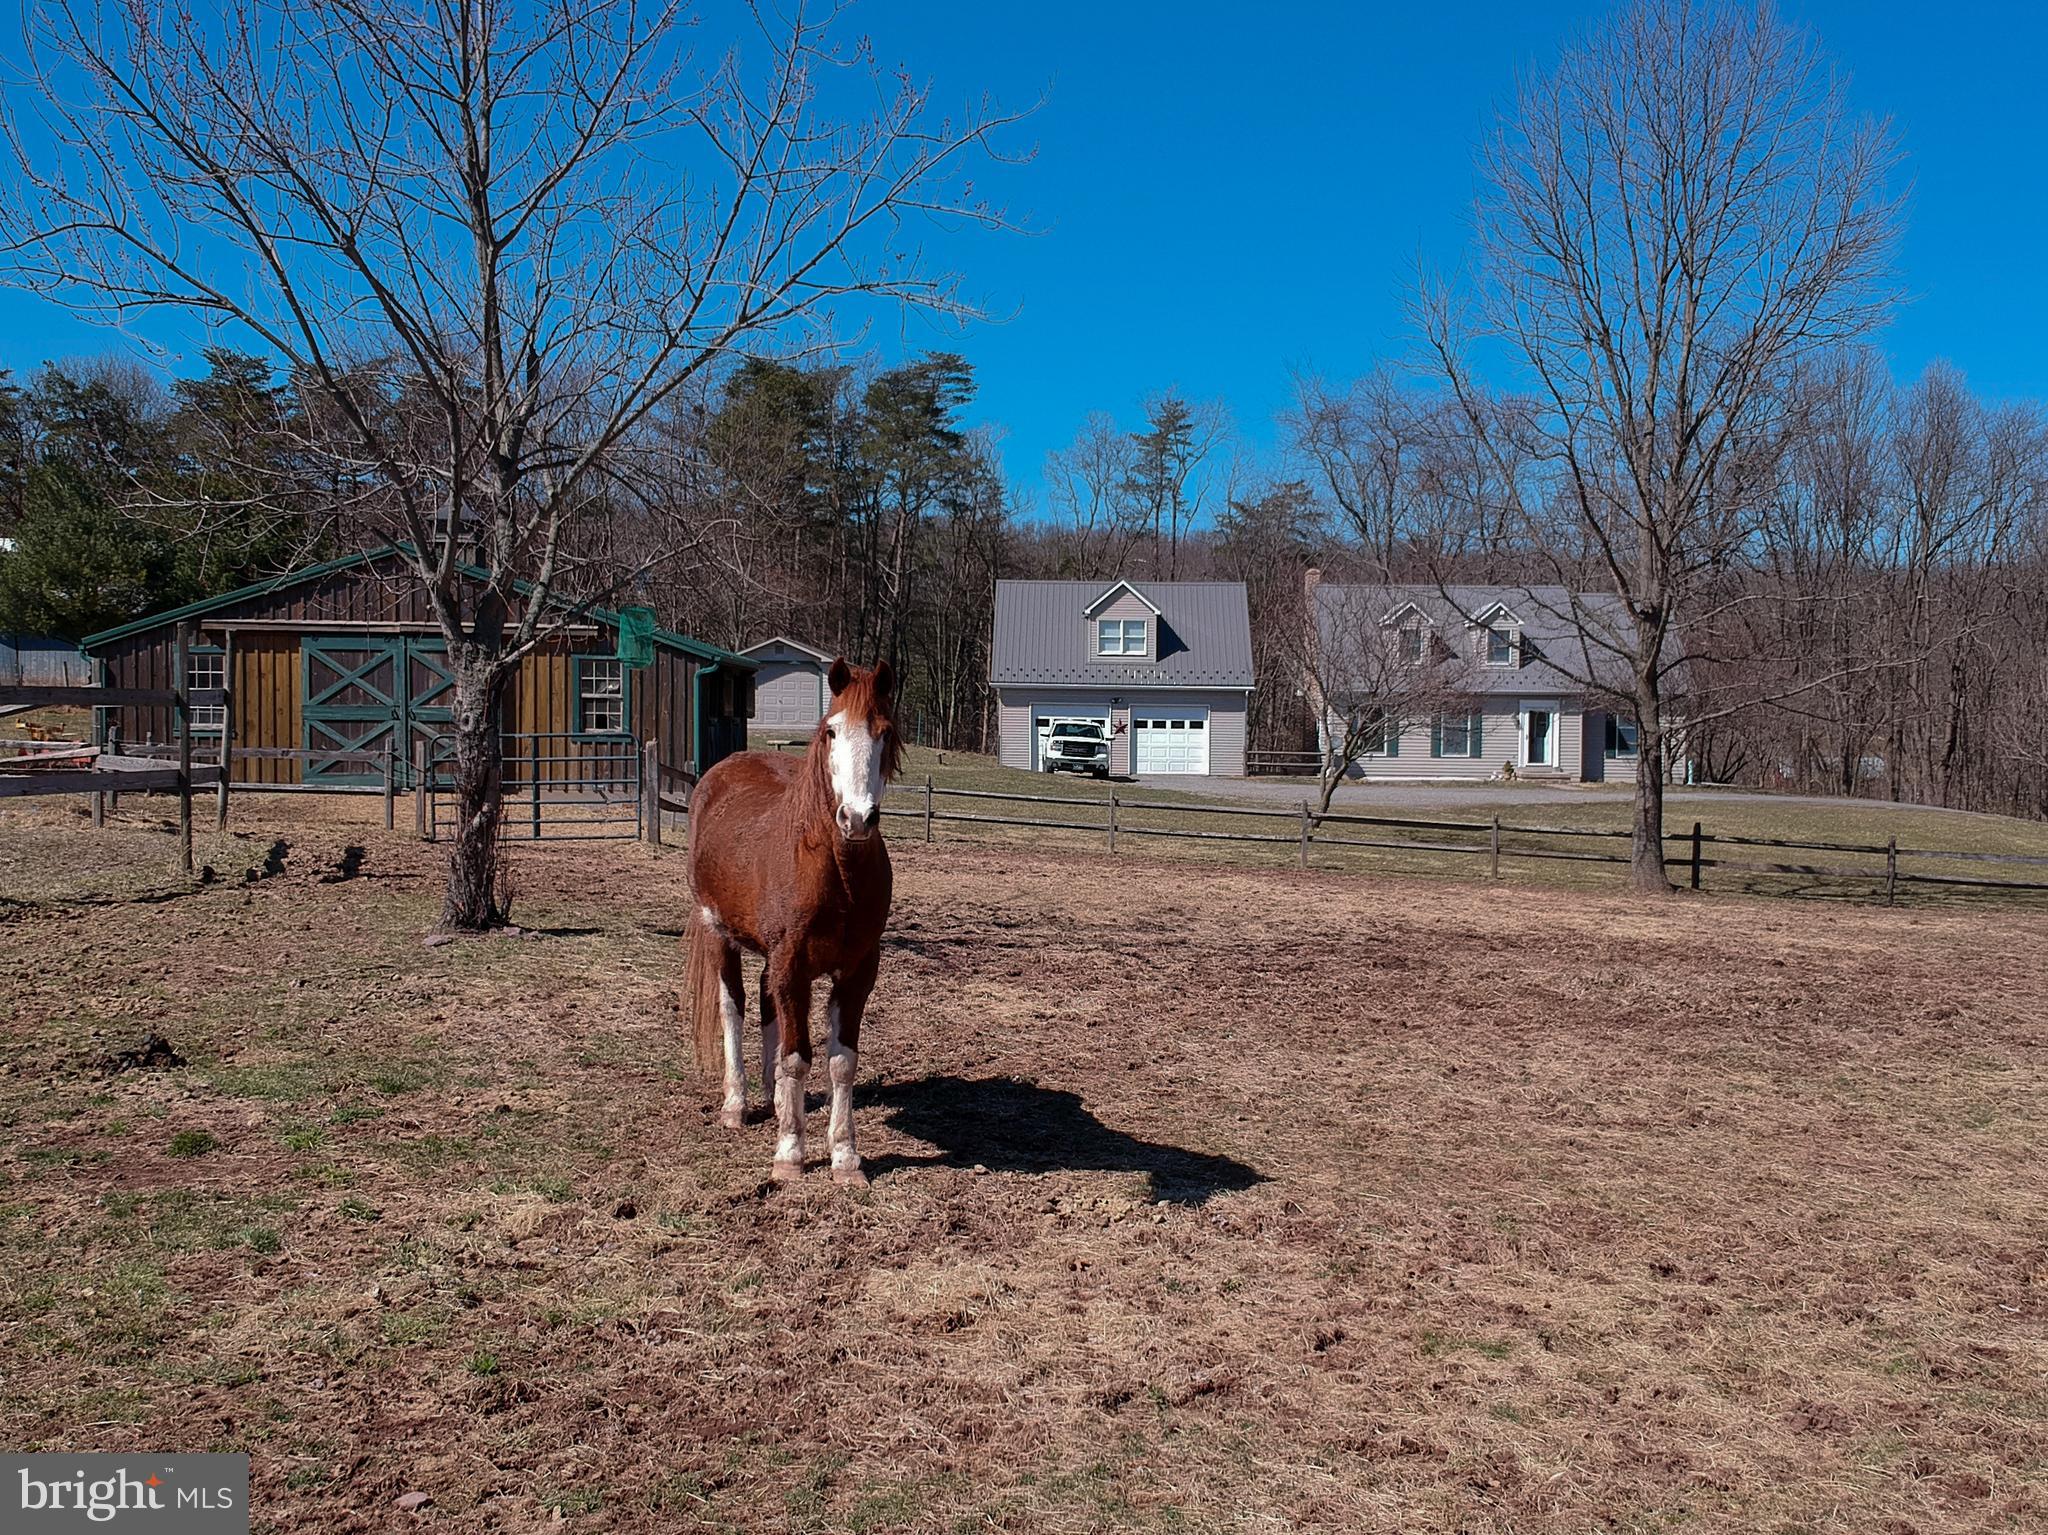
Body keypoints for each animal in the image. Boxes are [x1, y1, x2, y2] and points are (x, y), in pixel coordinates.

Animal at [685, 658, 902, 1184]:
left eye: (885, 731)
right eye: (831, 731)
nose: (857, 819)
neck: (836, 870)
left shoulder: (857, 971)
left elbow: (841, 1061)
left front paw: (845, 1157)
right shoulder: (793, 965)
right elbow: (799, 1056)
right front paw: (790, 1154)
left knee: (767, 1008)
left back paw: (774, 1097)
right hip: (720, 934)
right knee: (735, 1008)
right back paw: (737, 1105)